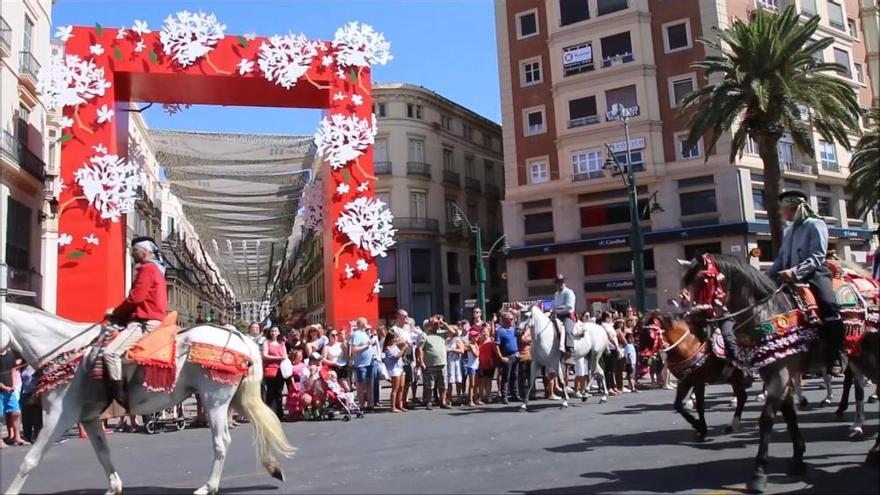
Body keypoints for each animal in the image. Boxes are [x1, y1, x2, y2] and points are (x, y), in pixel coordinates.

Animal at [0, 302, 296, 495]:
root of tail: (236, 335)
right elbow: (103, 453)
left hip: (215, 399)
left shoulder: (59, 416)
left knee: (222, 441)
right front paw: (114, 487)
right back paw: (273, 468)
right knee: (261, 424)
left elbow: (30, 460)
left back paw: (208, 487)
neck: (68, 353)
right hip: (234, 399)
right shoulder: (90, 419)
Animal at [636, 312, 744, 440]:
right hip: (735, 379)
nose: (642, 359)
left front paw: (702, 429)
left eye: (650, 335)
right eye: (638, 334)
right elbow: (678, 405)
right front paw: (697, 425)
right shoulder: (685, 381)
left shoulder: (699, 382)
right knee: (742, 397)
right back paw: (733, 425)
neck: (690, 345)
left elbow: (700, 406)